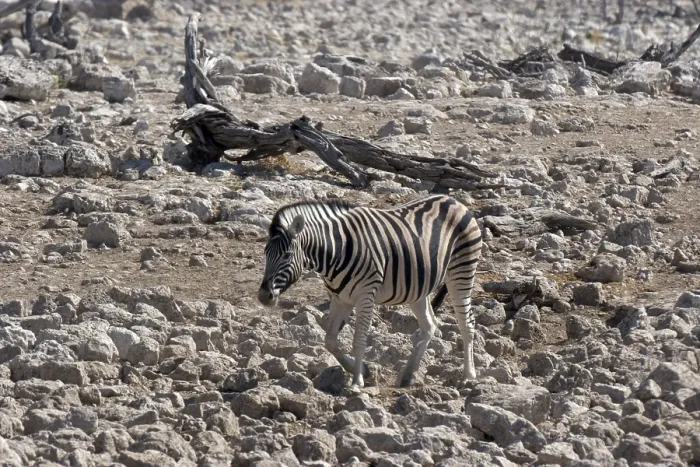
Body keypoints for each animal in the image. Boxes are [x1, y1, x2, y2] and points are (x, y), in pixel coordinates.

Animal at [257, 194, 483, 390]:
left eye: (287, 255)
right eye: (266, 253)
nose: (263, 296)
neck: (336, 252)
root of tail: (453, 200)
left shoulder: (365, 296)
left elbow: (358, 340)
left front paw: (357, 381)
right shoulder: (340, 298)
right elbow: (330, 341)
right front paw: (363, 371)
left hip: (461, 271)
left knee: (467, 323)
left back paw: (468, 376)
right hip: (418, 288)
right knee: (430, 325)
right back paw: (408, 374)